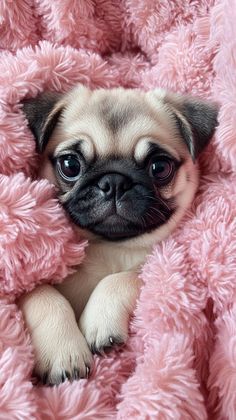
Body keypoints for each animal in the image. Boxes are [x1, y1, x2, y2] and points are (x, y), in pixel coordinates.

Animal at [18, 84, 218, 384]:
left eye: (159, 167)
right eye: (70, 165)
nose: (114, 181)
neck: (108, 246)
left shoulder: (164, 265)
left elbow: (123, 278)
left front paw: (100, 320)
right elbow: (42, 294)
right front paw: (63, 352)